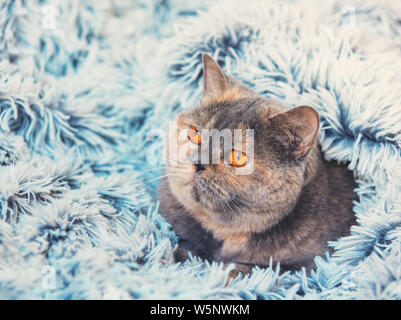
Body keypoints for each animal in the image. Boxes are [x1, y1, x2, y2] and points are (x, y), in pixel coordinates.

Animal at [157, 52, 356, 278]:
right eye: (195, 134)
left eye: (238, 157)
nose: (198, 163)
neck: (228, 235)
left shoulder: (311, 265)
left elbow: (257, 269)